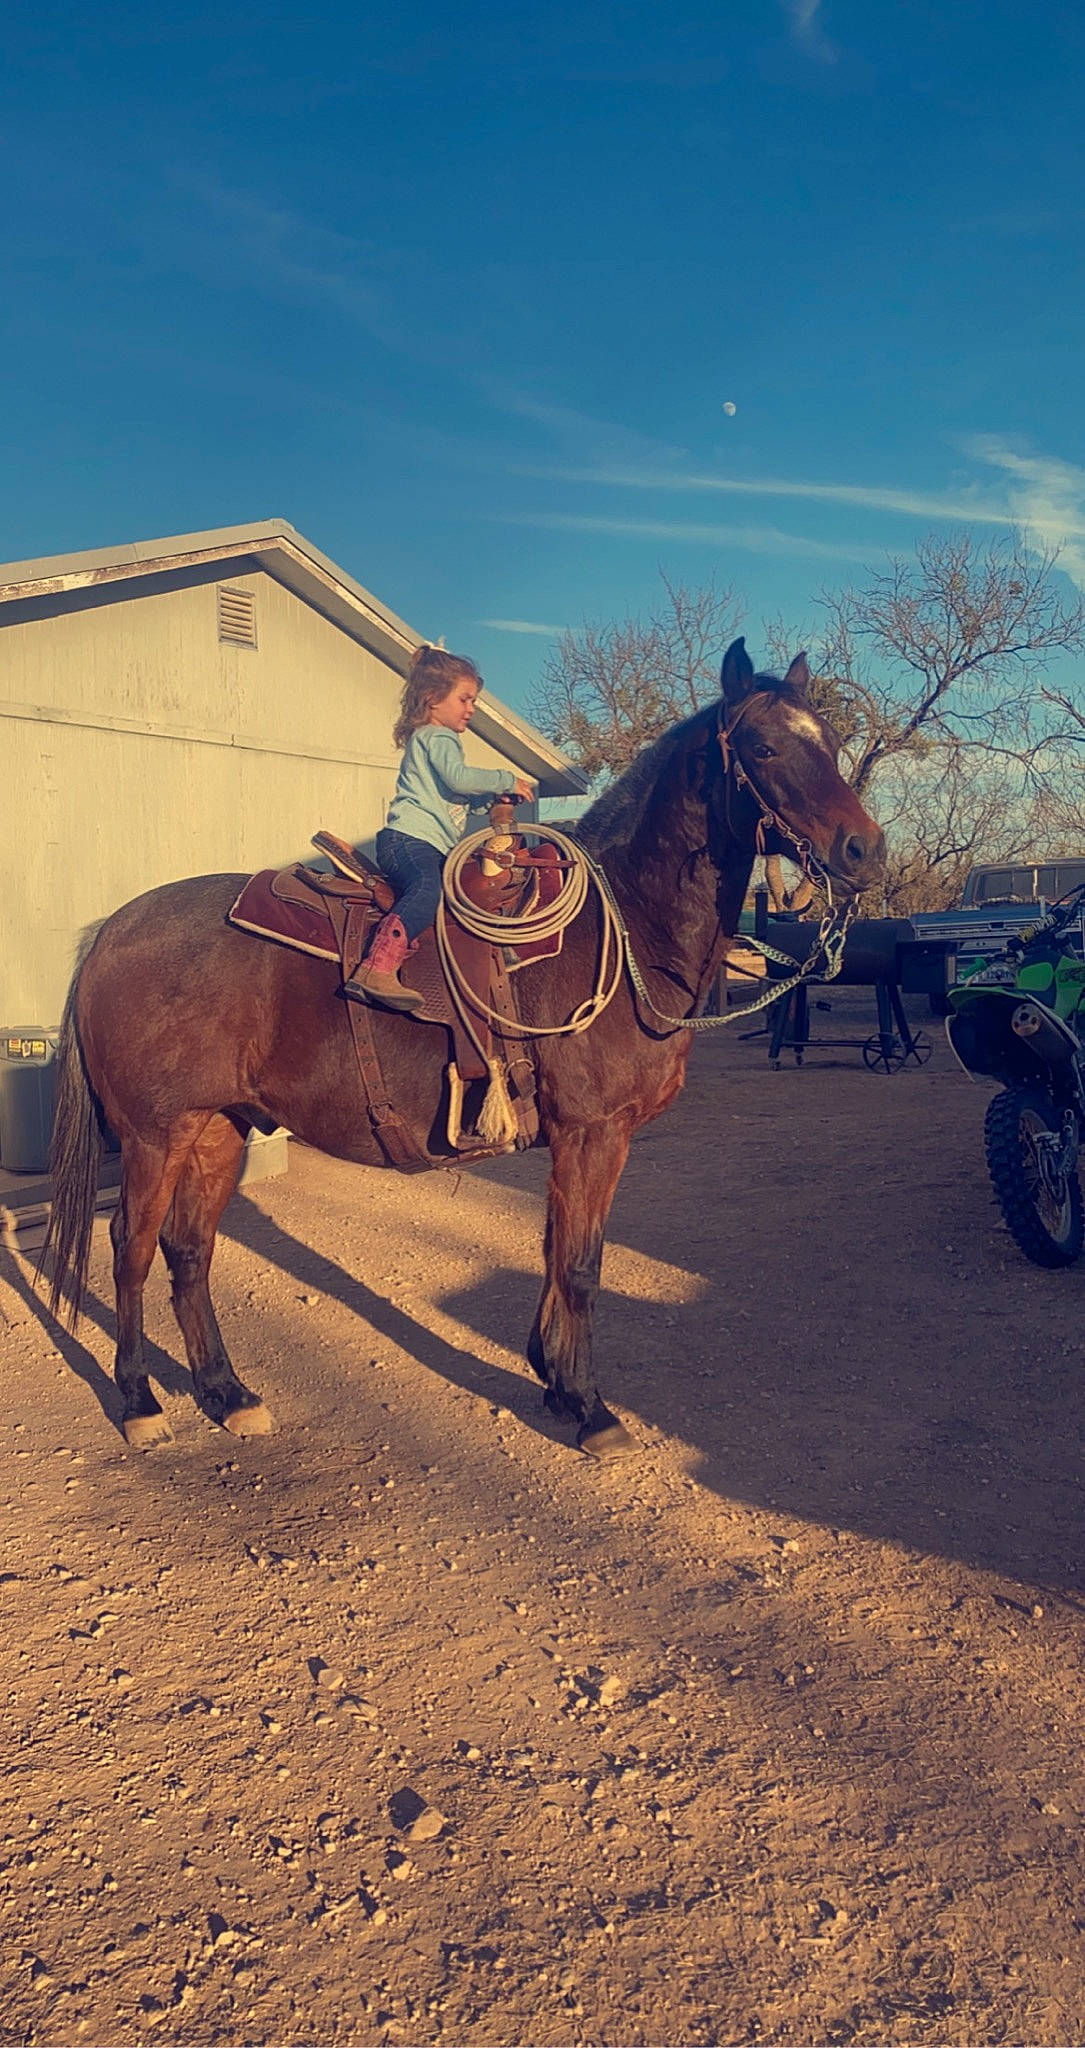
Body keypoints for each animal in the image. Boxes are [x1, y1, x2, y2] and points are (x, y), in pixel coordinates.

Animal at [42, 638, 884, 1459]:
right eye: (764, 746)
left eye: (830, 740)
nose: (862, 850)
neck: (621, 928)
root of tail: (111, 931)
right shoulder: (593, 1131)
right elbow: (580, 1264)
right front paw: (589, 1407)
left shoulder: (577, 1138)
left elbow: (553, 1247)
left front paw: (553, 1378)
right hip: (155, 1135)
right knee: (129, 1248)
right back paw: (141, 1403)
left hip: (219, 1126)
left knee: (189, 1249)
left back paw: (227, 1394)